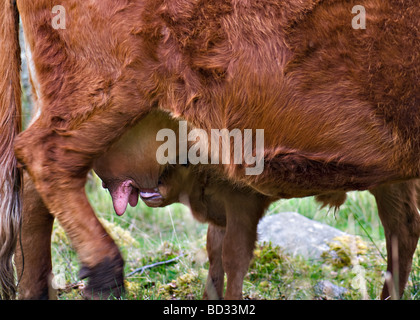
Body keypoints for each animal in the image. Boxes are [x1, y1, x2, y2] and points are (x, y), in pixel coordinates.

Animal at [0, 0, 420, 300]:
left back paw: (38, 290)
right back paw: (107, 273)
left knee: (31, 194)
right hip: (105, 91)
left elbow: (402, 232)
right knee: (43, 156)